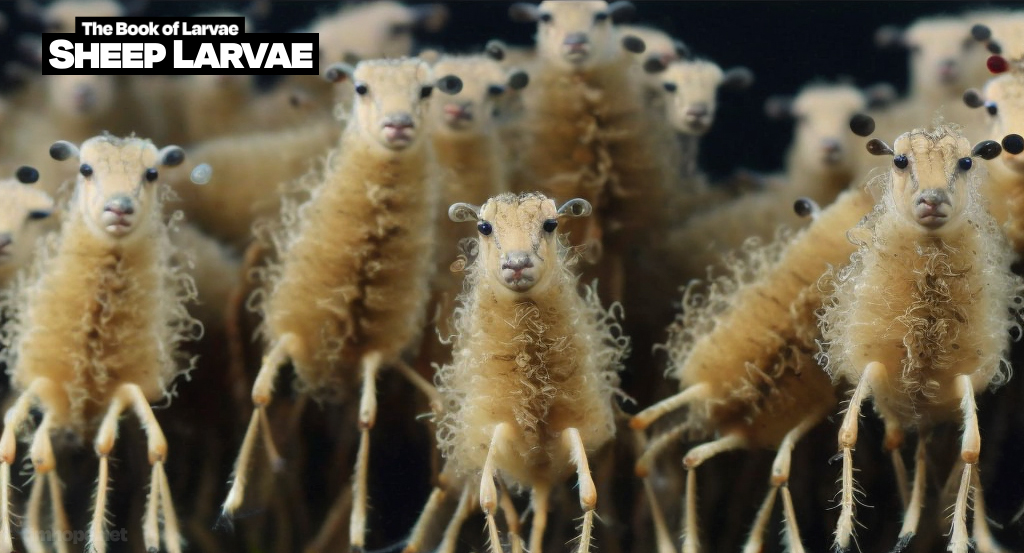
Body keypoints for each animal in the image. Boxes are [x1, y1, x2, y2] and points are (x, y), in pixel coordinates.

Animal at [0, 134, 200, 553]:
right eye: (86, 169)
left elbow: (148, 447)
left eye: (152, 173)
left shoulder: (124, 392)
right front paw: (46, 536)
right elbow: (32, 455)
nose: (119, 207)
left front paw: (159, 536)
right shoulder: (50, 393)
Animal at [220, 58, 463, 552]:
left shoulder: (375, 355)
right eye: (361, 88)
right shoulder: (291, 337)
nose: (398, 125)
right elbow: (259, 396)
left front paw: (355, 526)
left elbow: (371, 422)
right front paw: (236, 499)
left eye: (426, 90)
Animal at [435, 193, 629, 553]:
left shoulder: (572, 430)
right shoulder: (497, 430)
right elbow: (487, 500)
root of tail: (538, 478)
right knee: (511, 516)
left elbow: (589, 497)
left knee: (539, 518)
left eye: (550, 224)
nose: (517, 263)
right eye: (484, 227)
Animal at [817, 120, 1016, 553]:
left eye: (966, 162)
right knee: (896, 444)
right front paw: (842, 532)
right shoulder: (871, 366)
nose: (932, 200)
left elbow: (972, 450)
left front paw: (959, 539)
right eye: (900, 161)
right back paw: (907, 523)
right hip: (892, 397)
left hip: (948, 399)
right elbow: (848, 434)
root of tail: (920, 417)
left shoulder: (966, 380)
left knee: (955, 456)